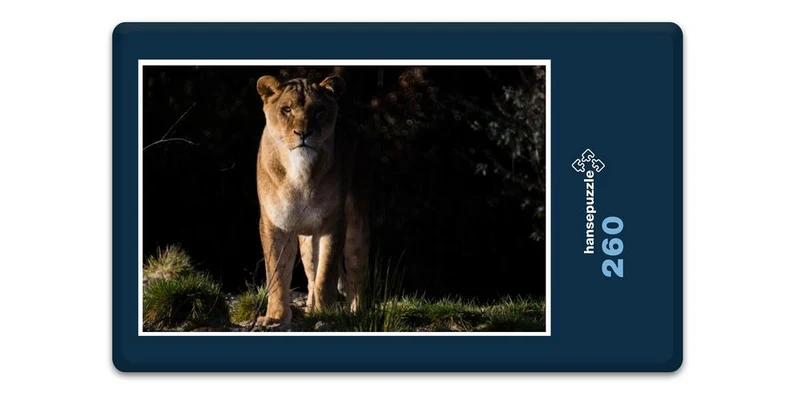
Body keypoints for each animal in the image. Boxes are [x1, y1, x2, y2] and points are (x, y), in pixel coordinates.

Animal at [254, 75, 370, 328]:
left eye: (318, 111)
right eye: (286, 109)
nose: (303, 133)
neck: (298, 170)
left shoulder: (332, 224)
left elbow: (326, 275)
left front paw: (325, 314)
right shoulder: (274, 224)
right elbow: (277, 274)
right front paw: (276, 317)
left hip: (357, 218)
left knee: (355, 268)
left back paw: (356, 312)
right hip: (306, 239)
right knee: (310, 274)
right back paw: (308, 310)